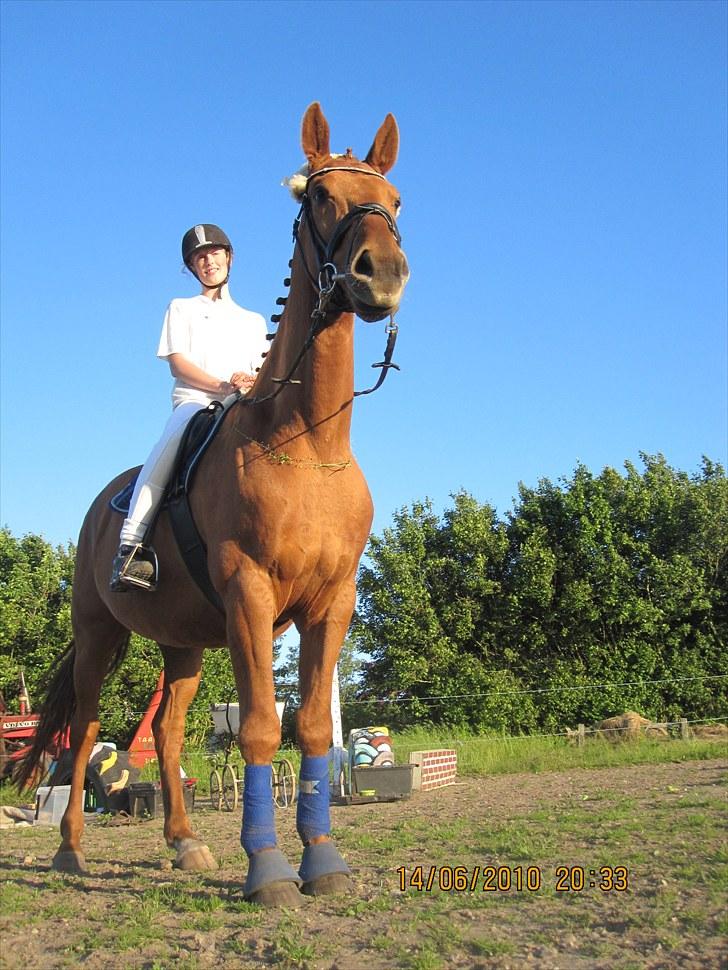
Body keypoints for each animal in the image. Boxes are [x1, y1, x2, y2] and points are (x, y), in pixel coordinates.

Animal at [19, 104, 410, 908]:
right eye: (320, 198)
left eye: (394, 202)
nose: (382, 274)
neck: (308, 444)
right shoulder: (250, 597)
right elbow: (260, 727)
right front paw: (269, 872)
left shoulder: (330, 603)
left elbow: (313, 730)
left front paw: (322, 860)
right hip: (99, 633)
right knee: (86, 727)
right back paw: (70, 851)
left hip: (184, 644)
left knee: (167, 732)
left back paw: (185, 842)